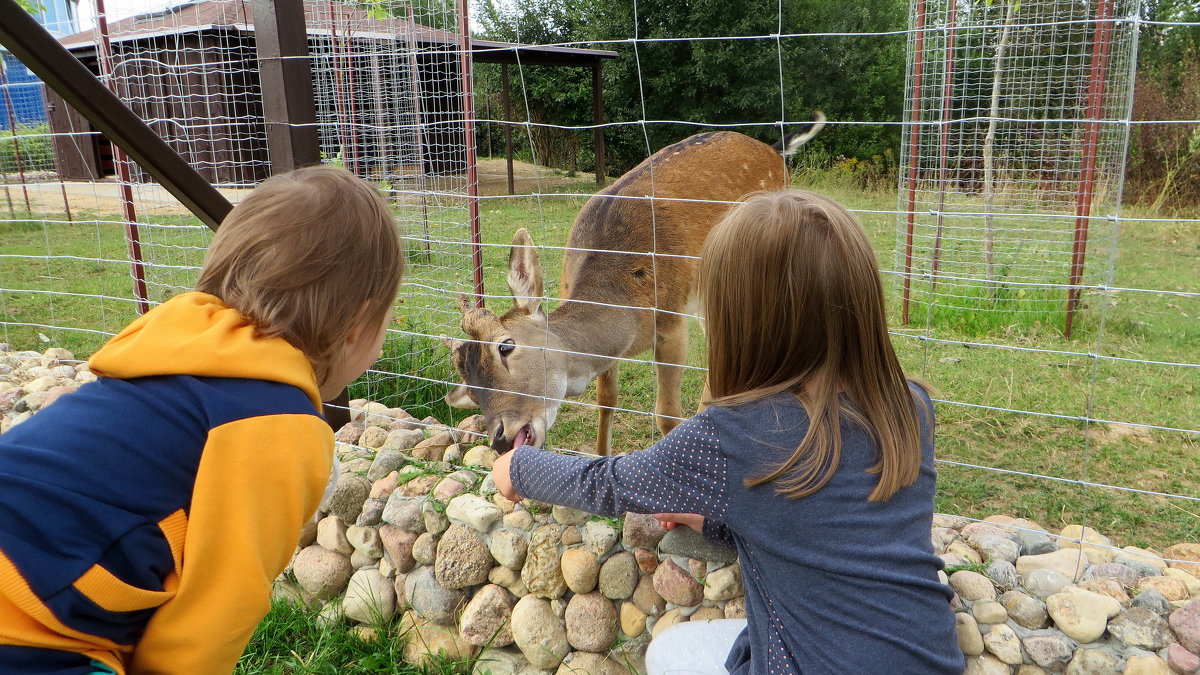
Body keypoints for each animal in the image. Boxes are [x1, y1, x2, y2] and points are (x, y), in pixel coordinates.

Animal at [441, 112, 825, 454]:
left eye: (506, 346)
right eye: (470, 387)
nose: (501, 436)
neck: (625, 299)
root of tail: (774, 149)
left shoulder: (671, 321)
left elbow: (666, 416)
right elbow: (606, 400)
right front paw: (601, 456)